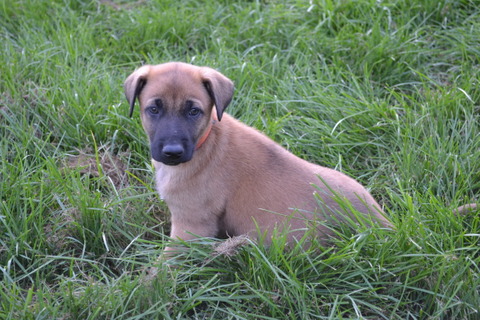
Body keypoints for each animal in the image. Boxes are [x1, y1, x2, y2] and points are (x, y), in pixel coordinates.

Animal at [125, 61, 392, 254]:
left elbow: (160, 272)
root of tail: (382, 225)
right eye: (154, 109)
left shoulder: (190, 227)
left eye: (193, 111)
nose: (172, 152)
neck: (205, 141)